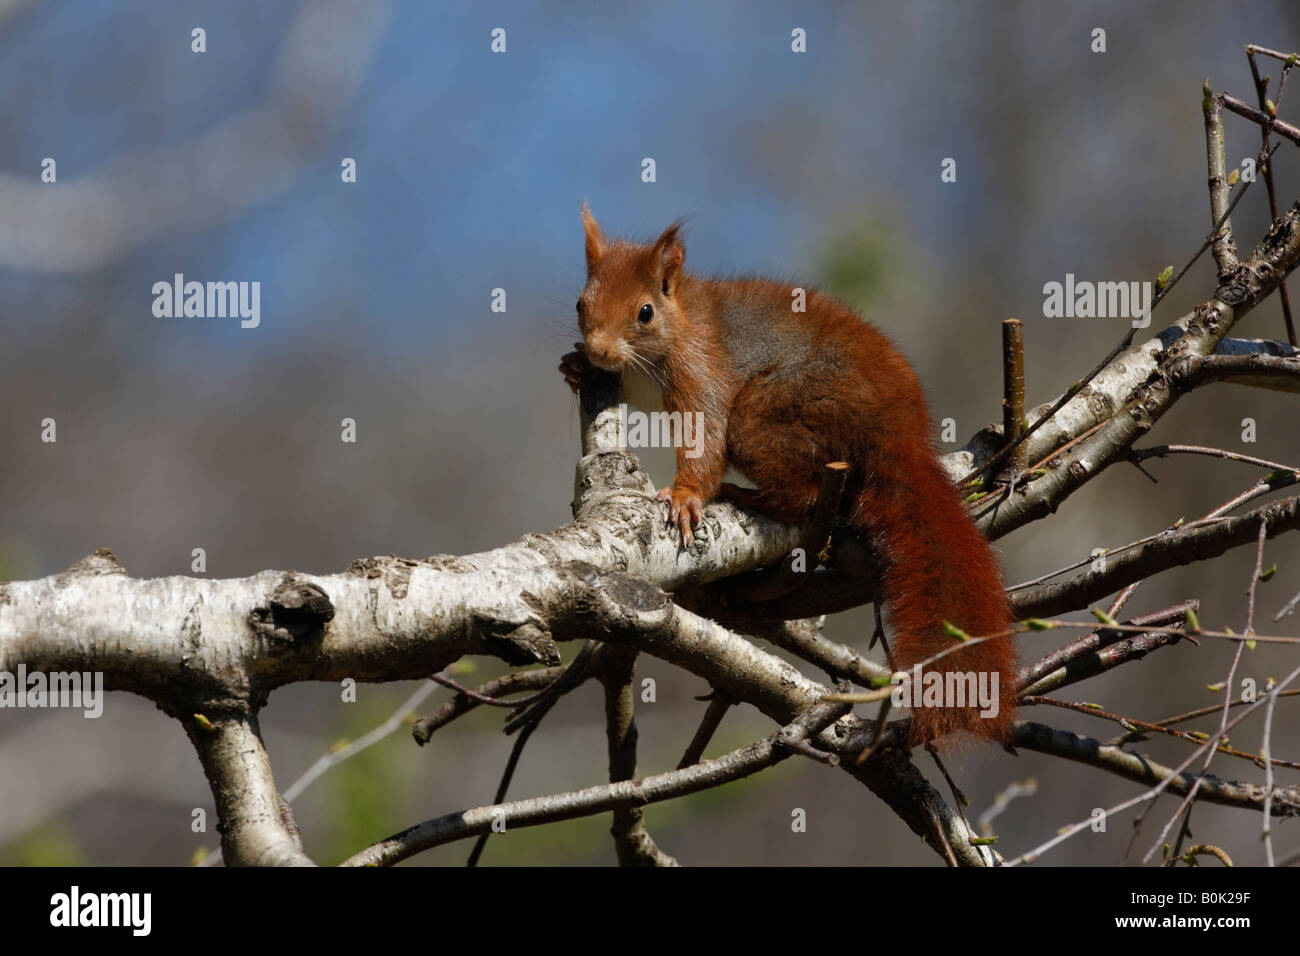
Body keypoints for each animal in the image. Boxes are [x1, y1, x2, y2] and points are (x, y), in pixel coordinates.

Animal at [559, 208, 1013, 749]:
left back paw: (749, 495)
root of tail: (898, 435)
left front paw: (686, 498)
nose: (600, 350)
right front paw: (574, 364)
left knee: (805, 494)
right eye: (581, 302)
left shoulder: (701, 365)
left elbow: (705, 434)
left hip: (767, 415)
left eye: (645, 312)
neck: (679, 322)